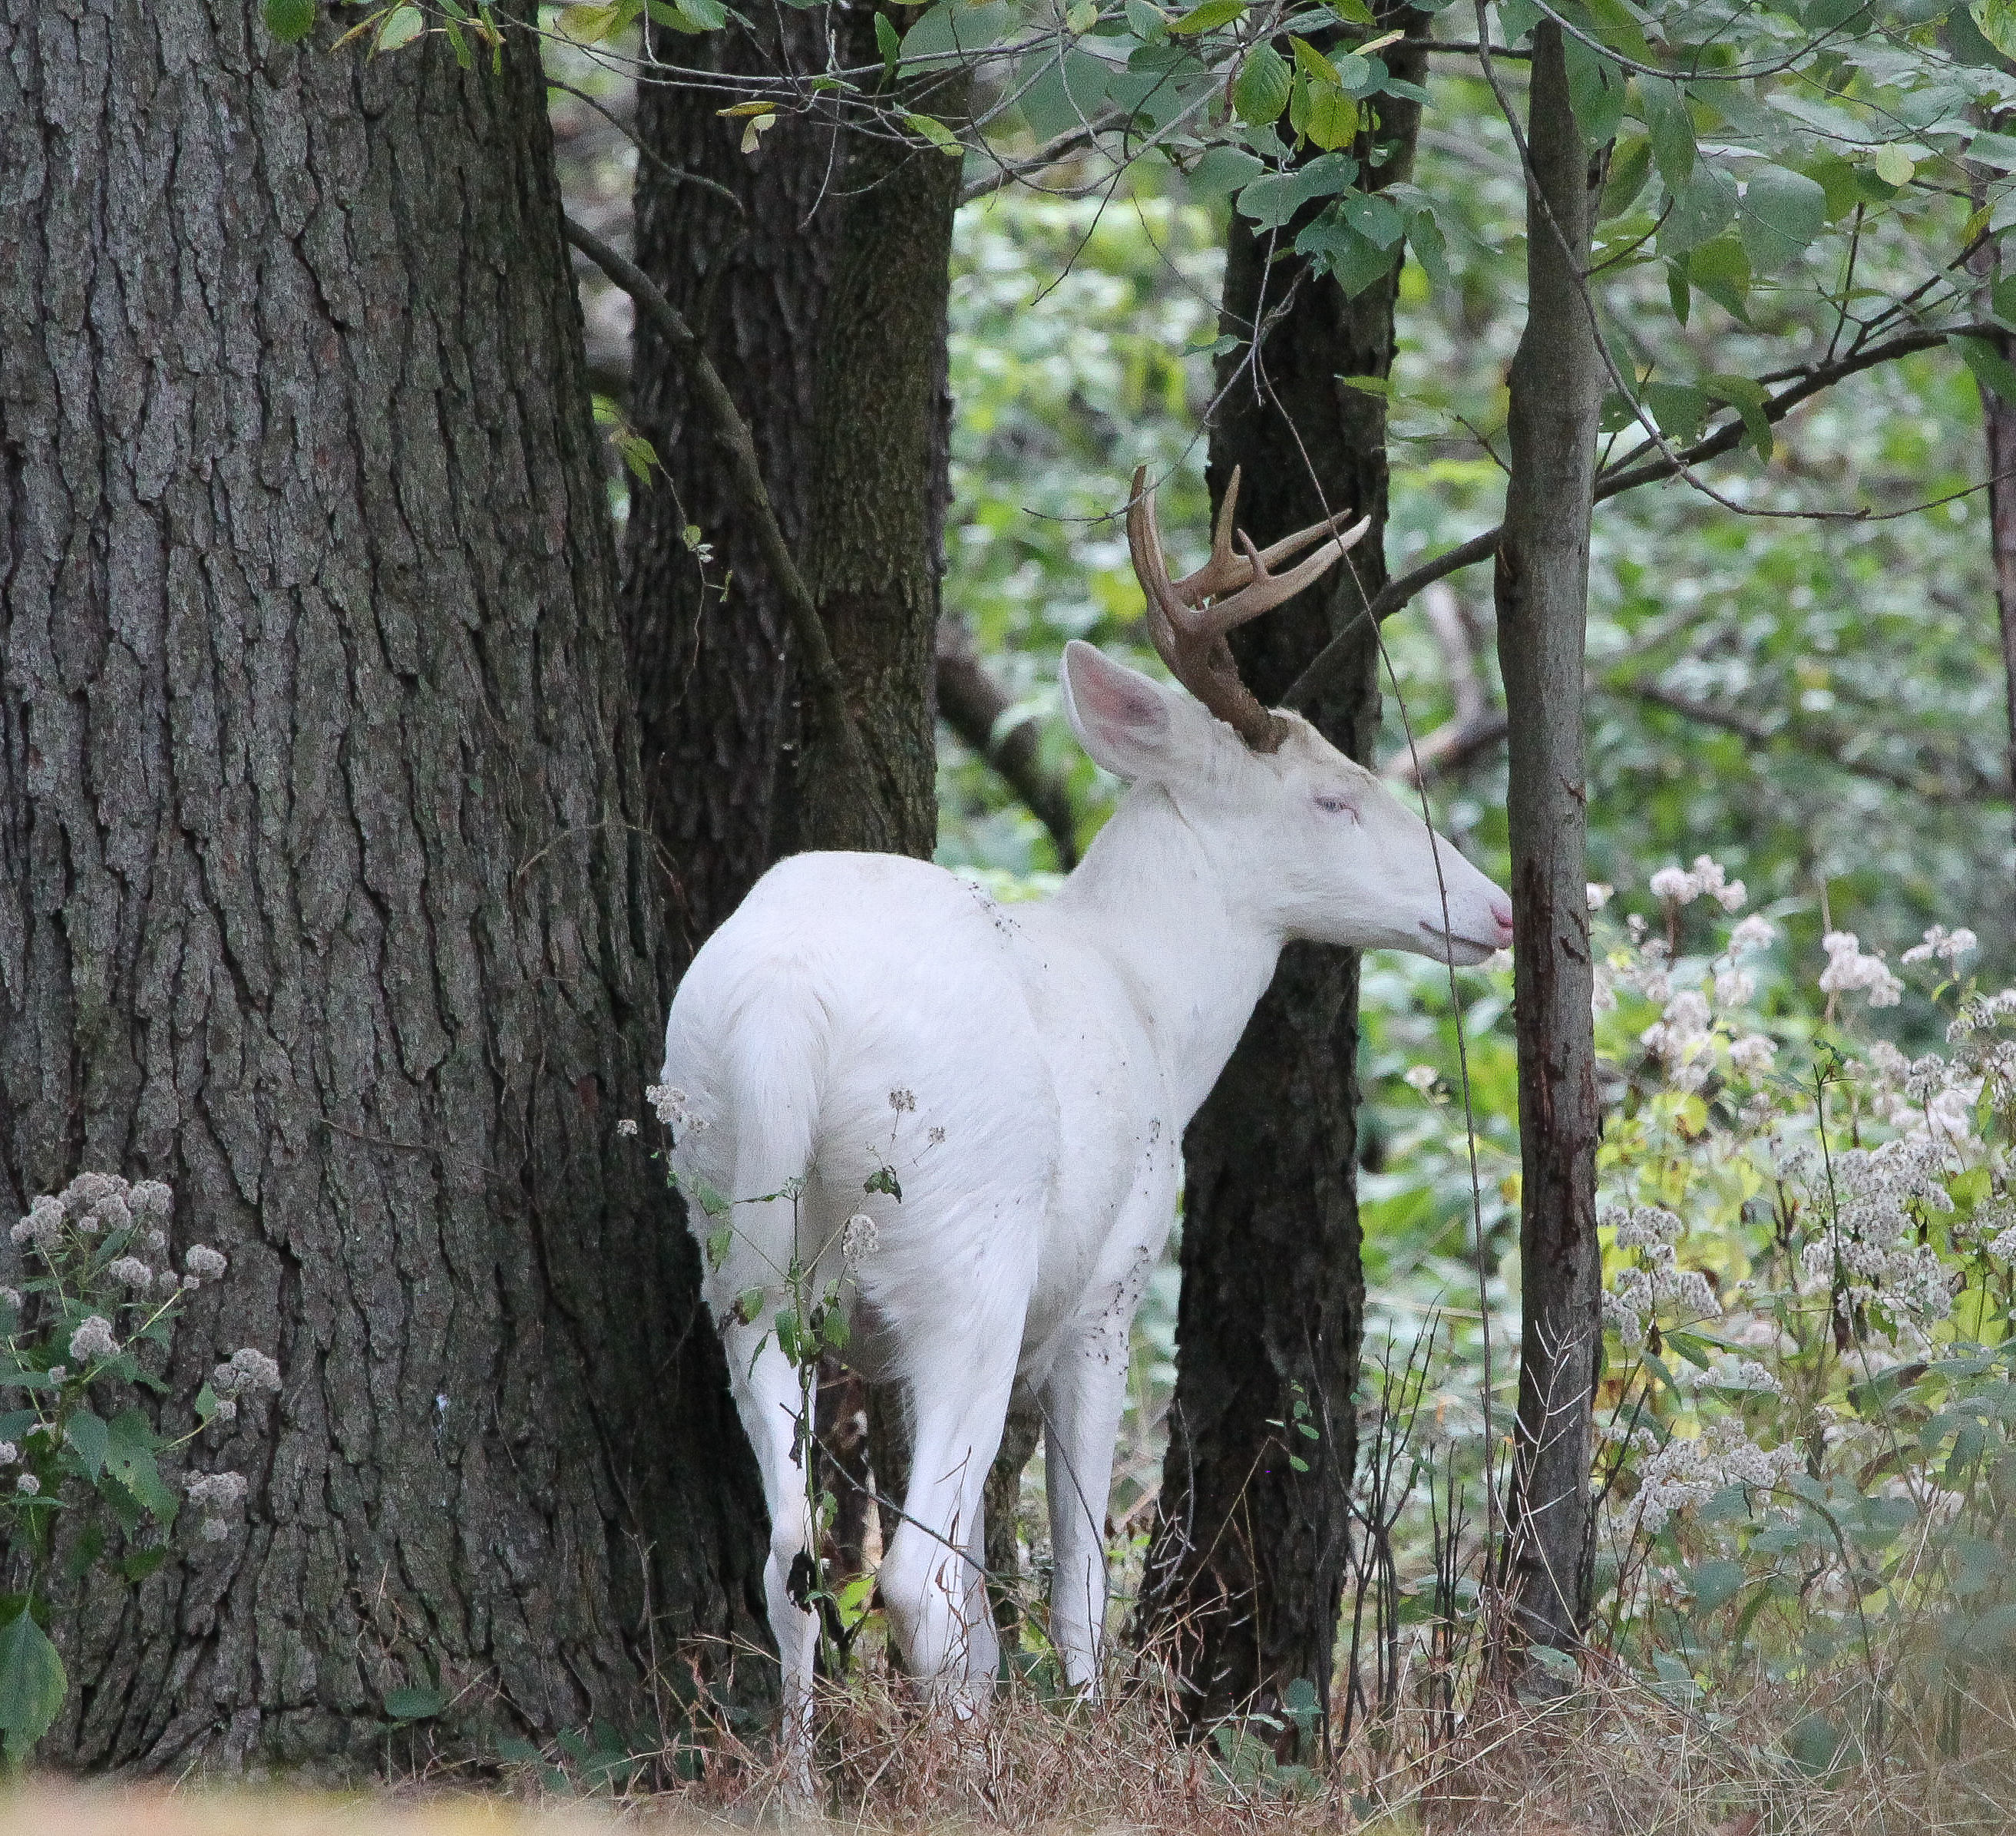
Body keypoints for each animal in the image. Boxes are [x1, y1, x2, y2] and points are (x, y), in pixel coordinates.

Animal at [661, 469, 1515, 1781]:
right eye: (1335, 792)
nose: (1497, 907)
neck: (1150, 998)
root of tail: (784, 1008)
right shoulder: (1112, 1286)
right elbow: (1070, 1580)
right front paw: (1083, 1716)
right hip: (968, 1246)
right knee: (910, 1574)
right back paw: (964, 1779)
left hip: (736, 1247)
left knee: (794, 1552)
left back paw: (799, 1789)